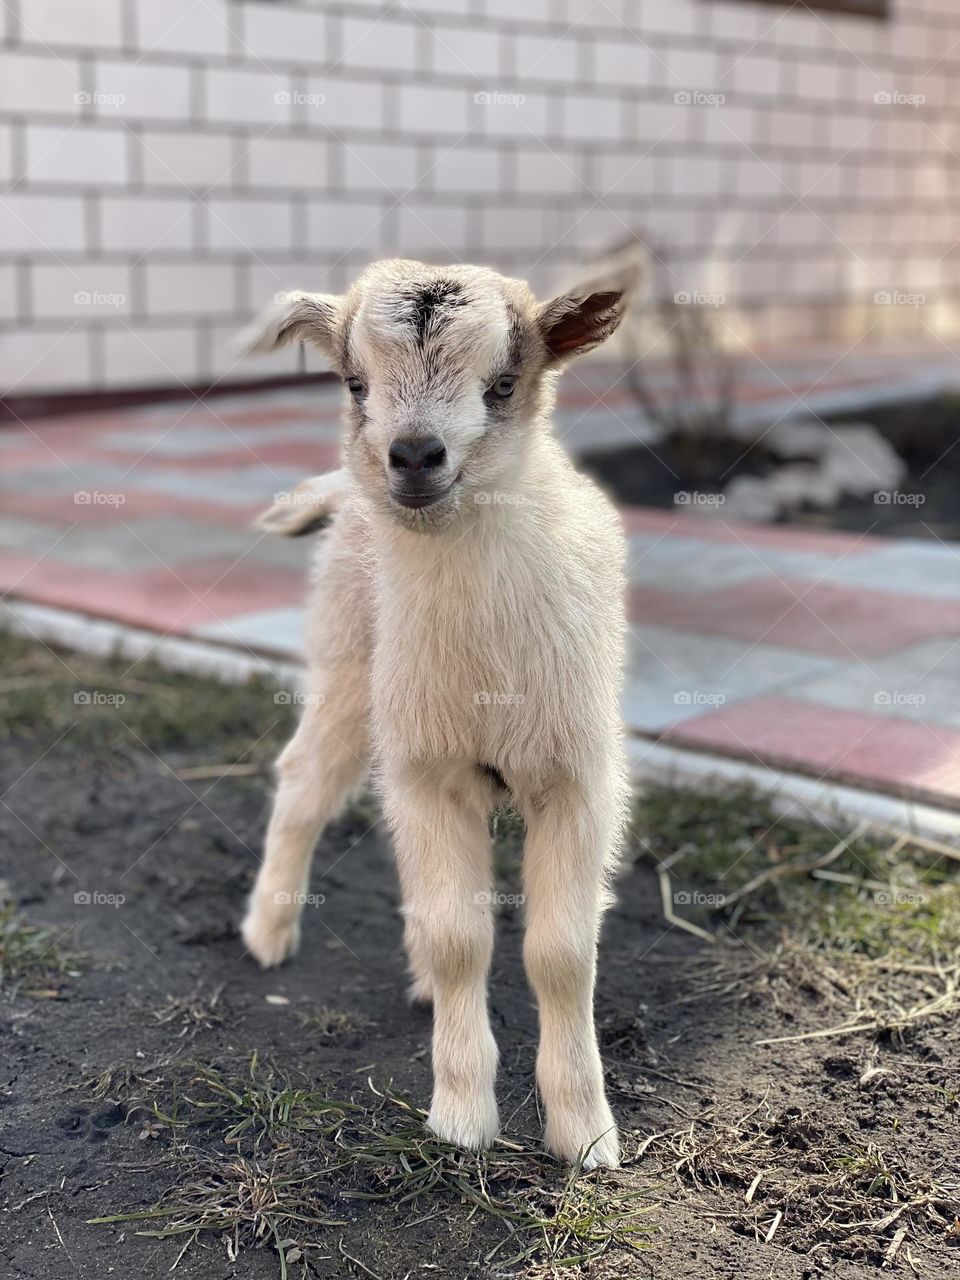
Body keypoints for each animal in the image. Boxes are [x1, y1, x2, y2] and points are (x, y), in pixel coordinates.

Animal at [241, 254, 640, 1167]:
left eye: (503, 384)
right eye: (355, 383)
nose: (414, 454)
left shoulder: (576, 777)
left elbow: (562, 954)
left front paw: (585, 1137)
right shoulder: (434, 769)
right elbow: (464, 941)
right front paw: (461, 1122)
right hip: (354, 675)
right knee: (303, 785)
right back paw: (269, 933)